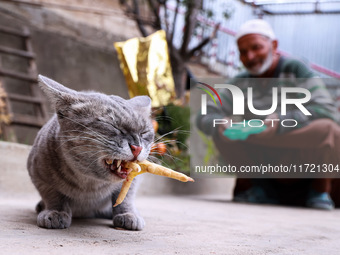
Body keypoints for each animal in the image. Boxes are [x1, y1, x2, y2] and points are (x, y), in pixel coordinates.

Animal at [26, 74, 154, 230]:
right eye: (112, 126)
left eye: (144, 132)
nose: (137, 147)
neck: (90, 186)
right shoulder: (38, 173)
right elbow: (53, 195)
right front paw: (55, 212)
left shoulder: (134, 179)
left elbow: (125, 196)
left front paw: (128, 214)